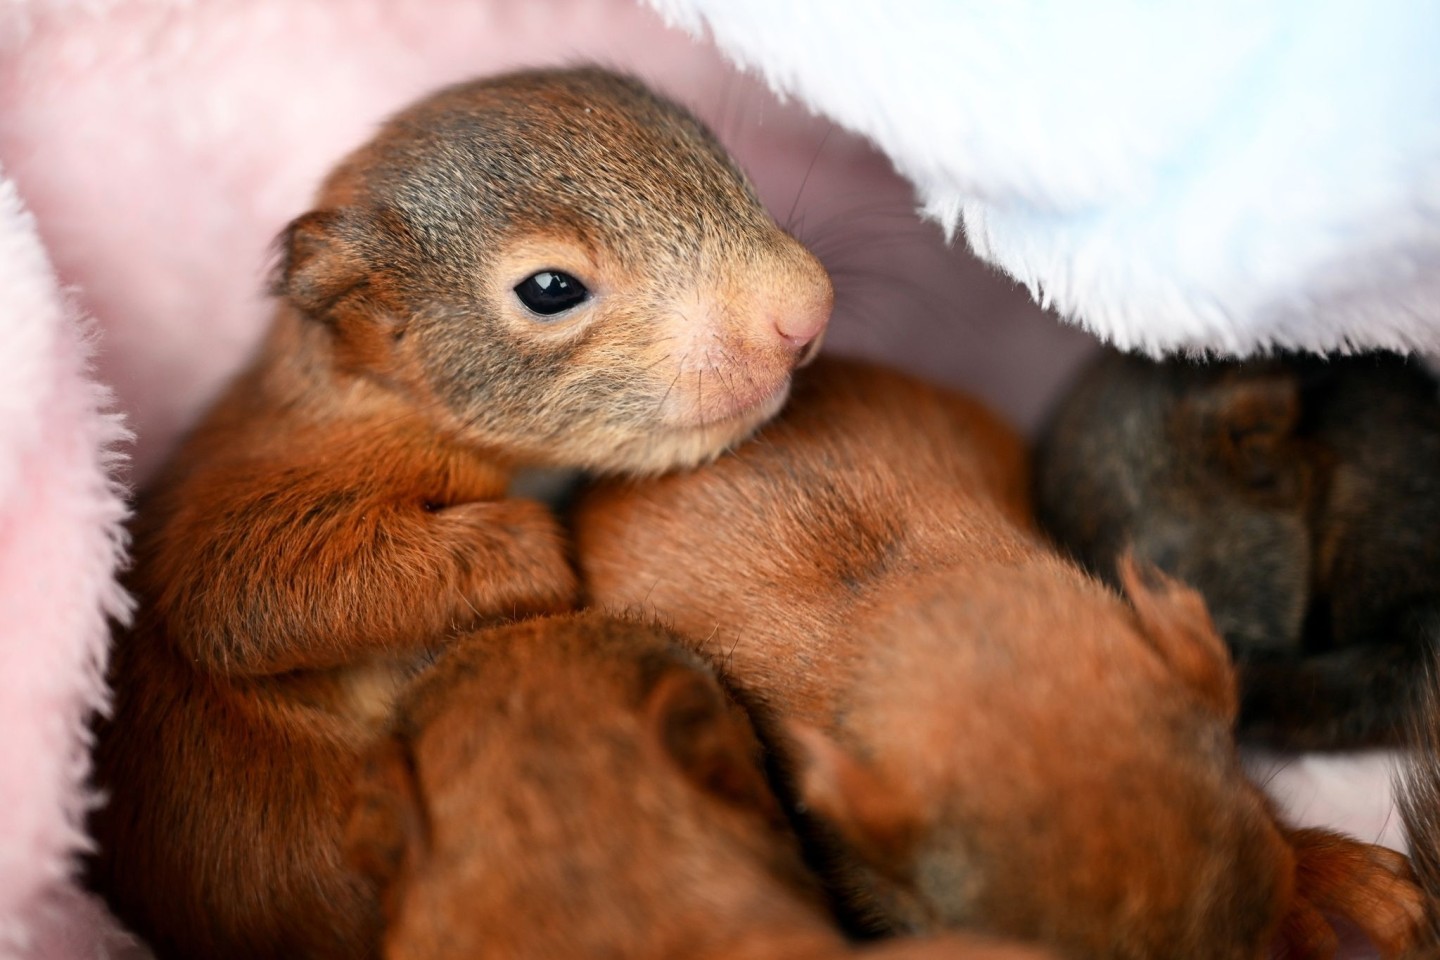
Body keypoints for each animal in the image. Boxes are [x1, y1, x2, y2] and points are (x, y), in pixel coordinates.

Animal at [87, 69, 835, 960]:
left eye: (723, 162)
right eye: (550, 289)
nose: (808, 312)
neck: (376, 396)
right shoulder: (276, 493)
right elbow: (244, 603)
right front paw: (535, 550)